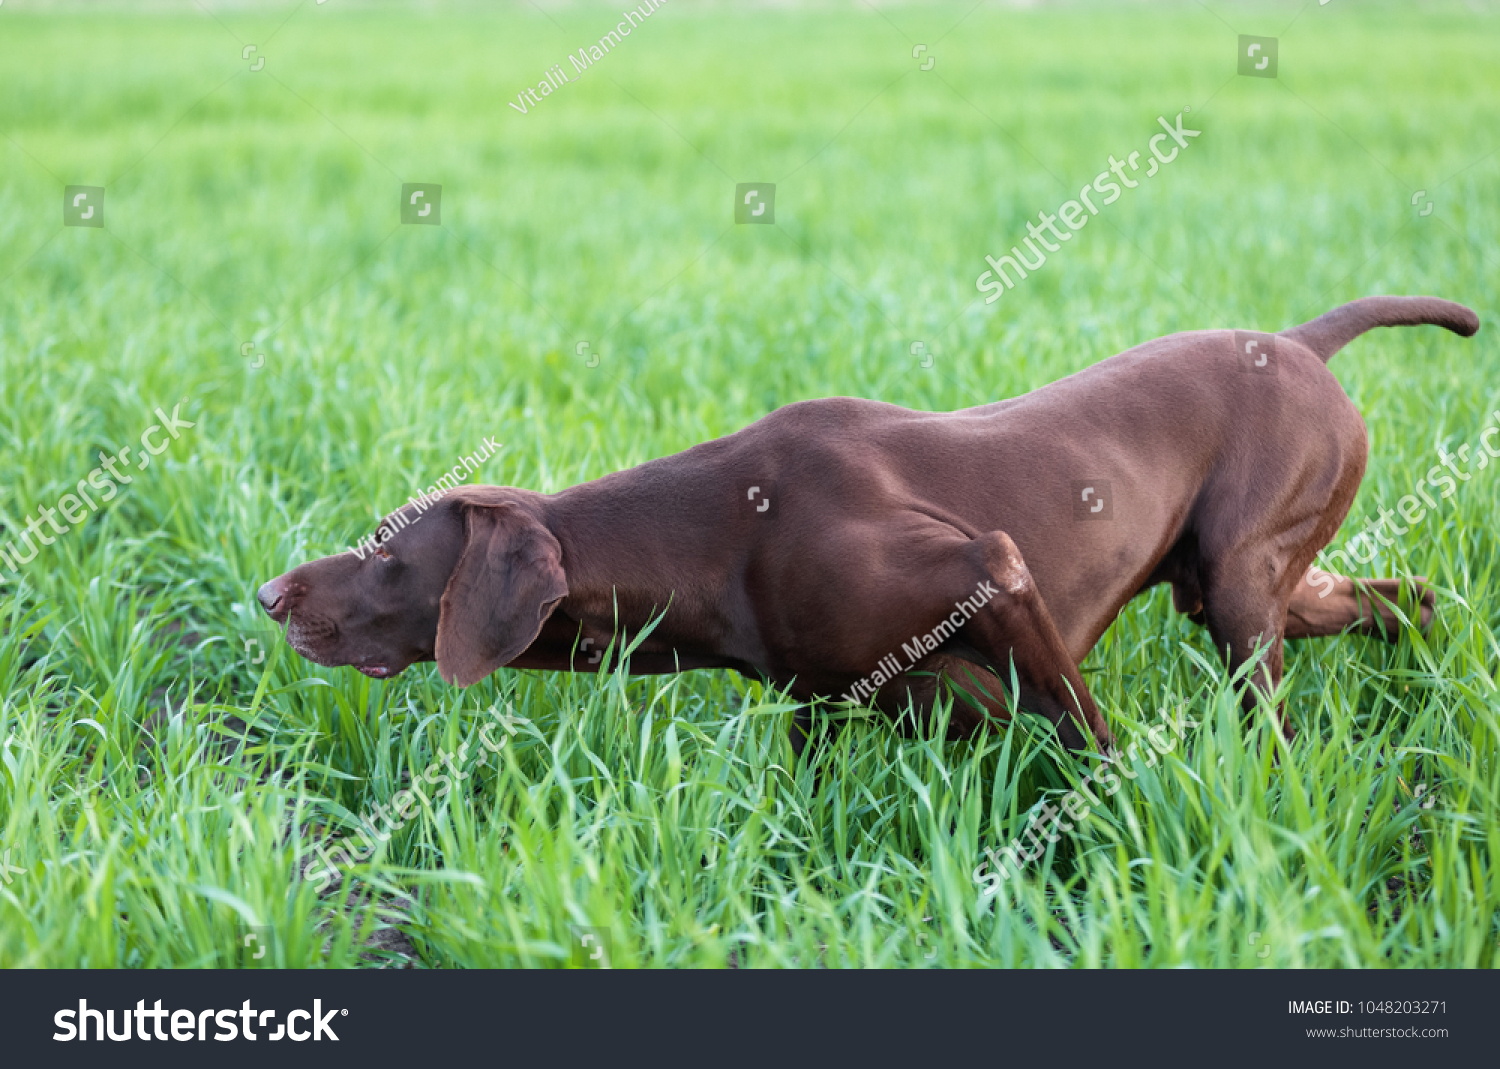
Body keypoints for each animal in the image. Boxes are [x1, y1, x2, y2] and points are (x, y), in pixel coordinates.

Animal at [255, 295, 1476, 755]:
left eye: (386, 552)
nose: (268, 595)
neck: (715, 539)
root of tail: (1303, 343)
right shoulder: (833, 705)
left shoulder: (994, 573)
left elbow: (1090, 734)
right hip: (1257, 581)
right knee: (1401, 596)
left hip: (1236, 583)